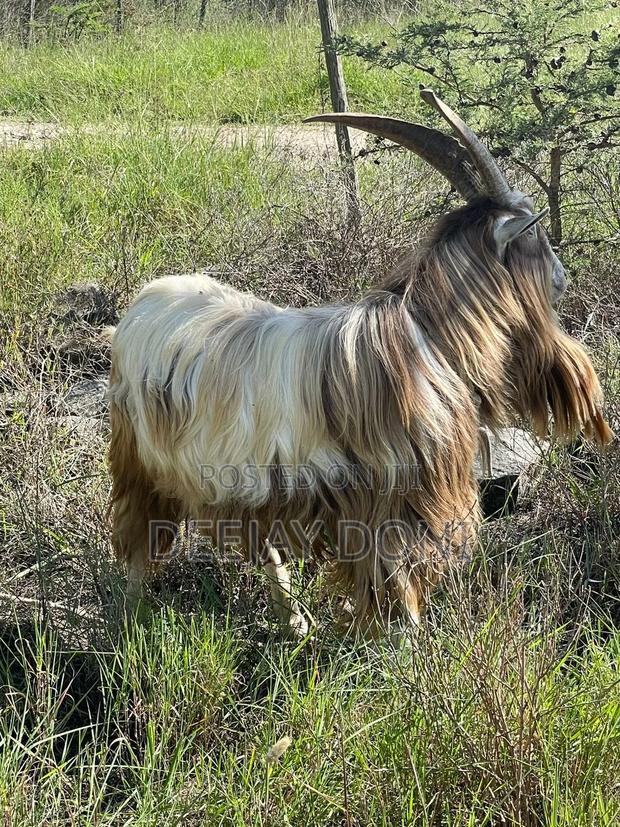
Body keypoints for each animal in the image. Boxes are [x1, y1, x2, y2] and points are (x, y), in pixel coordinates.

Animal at [107, 89, 612, 637]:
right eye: (534, 237)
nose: (562, 278)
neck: (429, 337)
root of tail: (143, 304)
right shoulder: (391, 504)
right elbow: (397, 582)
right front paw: (409, 648)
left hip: (243, 485)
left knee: (260, 544)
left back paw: (294, 622)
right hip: (140, 458)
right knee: (137, 540)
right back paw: (133, 618)